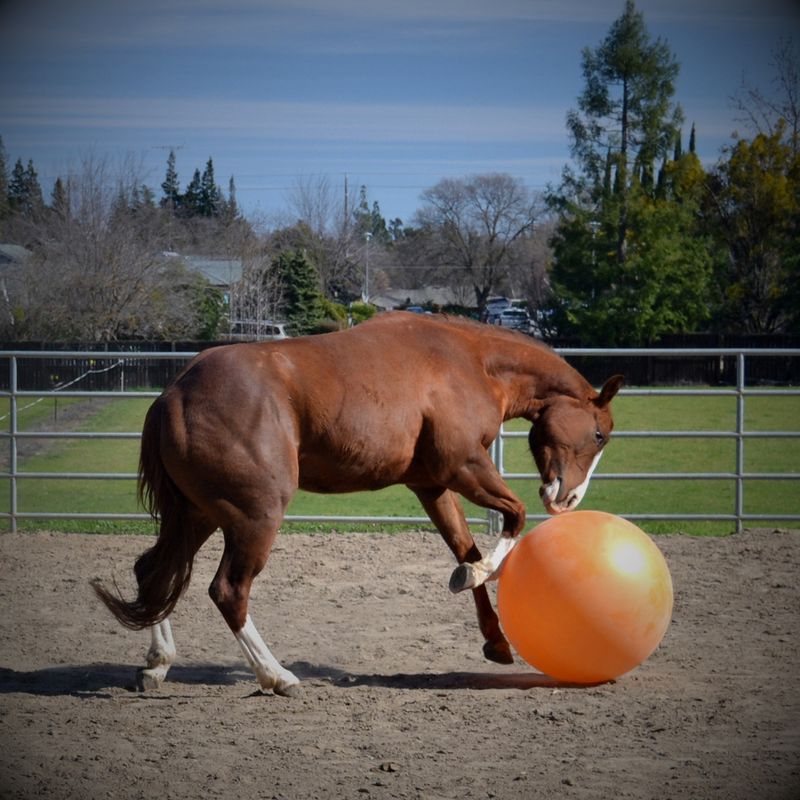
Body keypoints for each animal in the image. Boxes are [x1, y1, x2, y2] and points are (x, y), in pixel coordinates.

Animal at [93, 311, 623, 696]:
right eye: (599, 435)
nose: (568, 498)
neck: (470, 360)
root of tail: (172, 394)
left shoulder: (432, 485)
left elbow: (465, 549)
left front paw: (493, 635)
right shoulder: (464, 466)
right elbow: (513, 518)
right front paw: (478, 578)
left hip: (196, 515)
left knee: (153, 574)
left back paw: (156, 666)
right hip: (252, 518)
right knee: (227, 591)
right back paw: (277, 677)